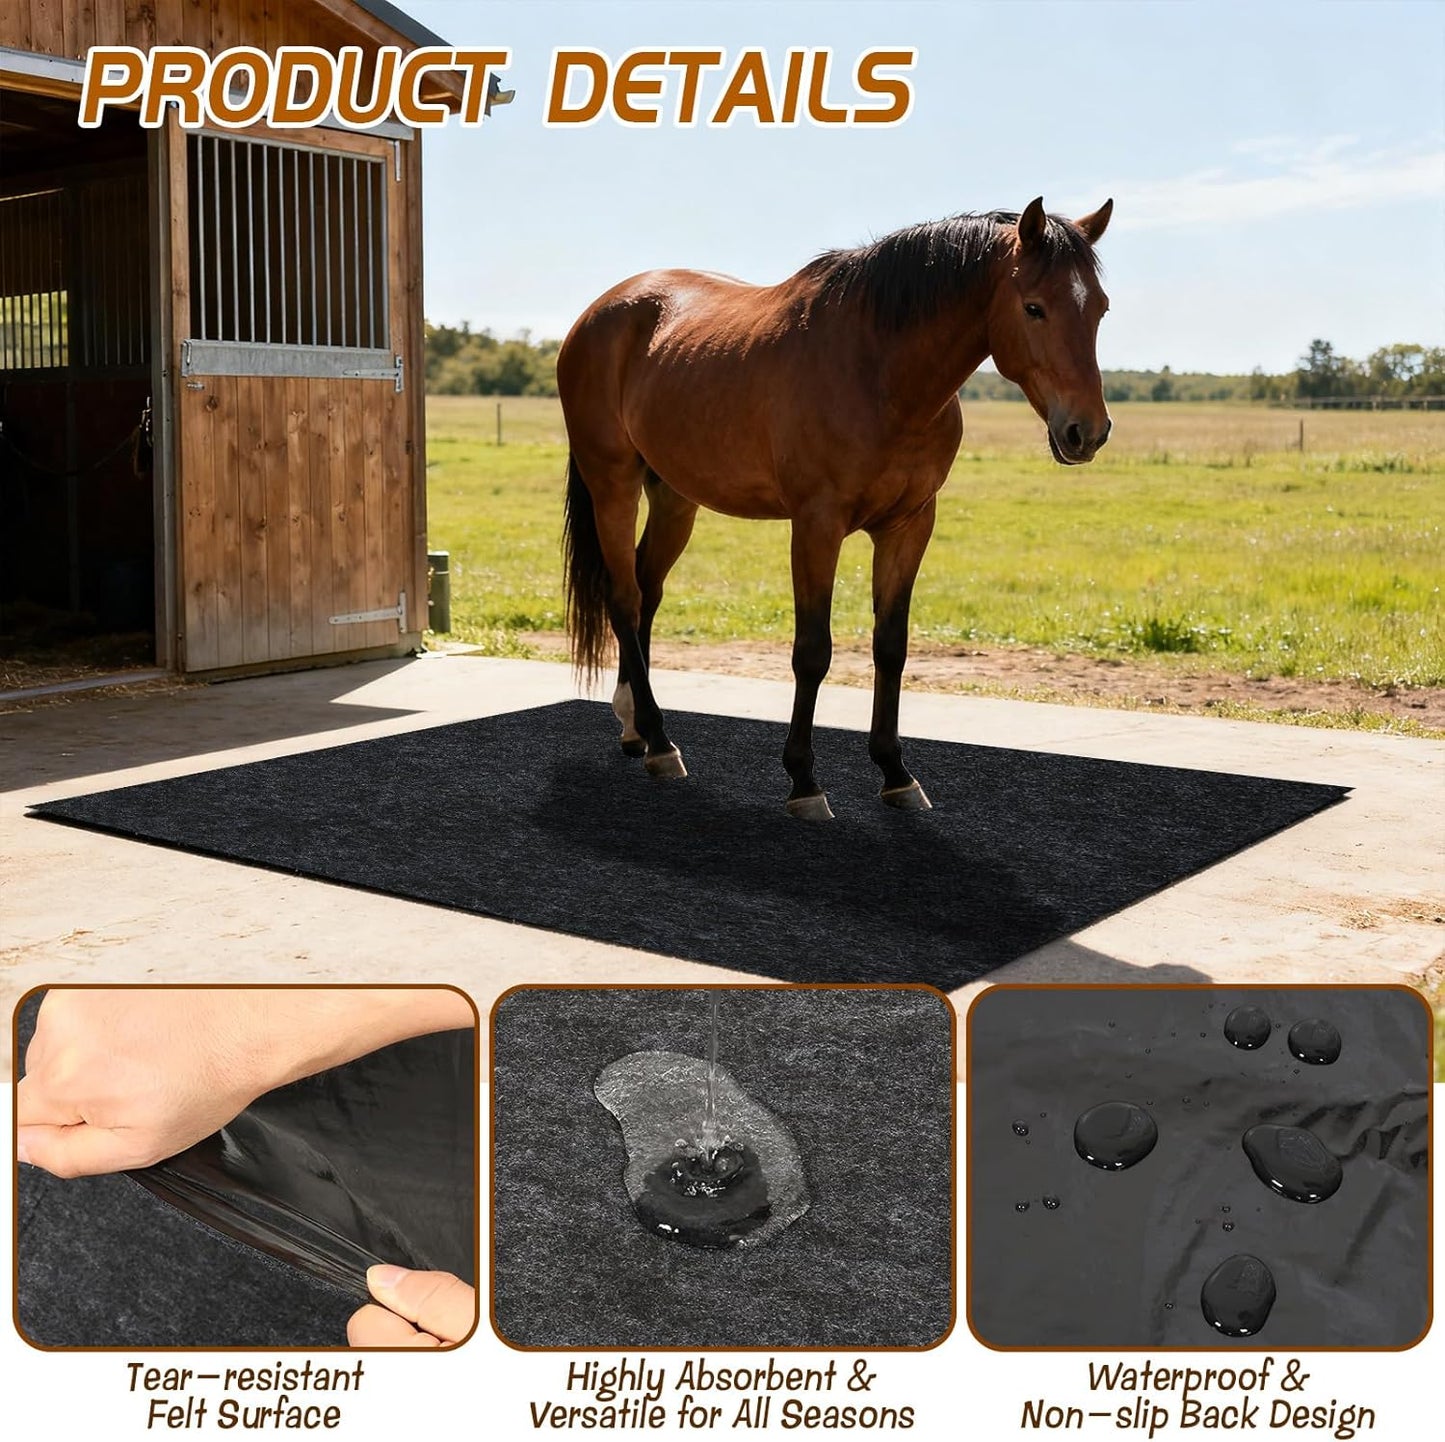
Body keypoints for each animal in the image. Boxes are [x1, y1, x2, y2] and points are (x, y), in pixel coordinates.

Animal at [557, 196, 1113, 819]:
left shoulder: (909, 526)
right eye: (1034, 307)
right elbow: (812, 651)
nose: (1087, 431)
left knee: (647, 592)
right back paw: (660, 742)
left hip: (676, 497)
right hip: (613, 484)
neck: (879, 374)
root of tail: (600, 313)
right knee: (625, 599)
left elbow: (890, 647)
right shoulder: (816, 526)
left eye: (1099, 308)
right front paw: (804, 780)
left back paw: (638, 729)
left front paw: (896, 773)